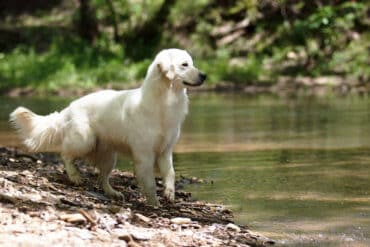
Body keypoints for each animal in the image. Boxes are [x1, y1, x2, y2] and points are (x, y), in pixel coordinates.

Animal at [9, 49, 205, 206]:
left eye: (192, 63)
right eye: (184, 65)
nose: (204, 75)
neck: (163, 101)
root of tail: (68, 108)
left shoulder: (165, 151)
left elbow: (170, 173)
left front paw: (169, 194)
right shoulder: (144, 154)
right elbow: (149, 182)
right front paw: (154, 204)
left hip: (109, 156)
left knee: (102, 178)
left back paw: (113, 193)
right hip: (85, 140)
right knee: (66, 155)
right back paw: (75, 176)